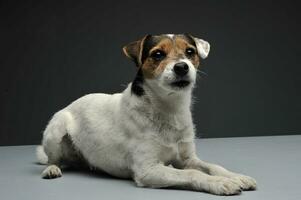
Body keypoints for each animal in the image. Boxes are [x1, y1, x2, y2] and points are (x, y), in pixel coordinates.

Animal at [35, 33, 255, 195]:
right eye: (157, 54)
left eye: (190, 51)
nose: (182, 66)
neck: (169, 108)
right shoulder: (148, 170)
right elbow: (193, 174)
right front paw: (219, 183)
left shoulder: (187, 159)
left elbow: (212, 166)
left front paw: (235, 176)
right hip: (56, 129)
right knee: (52, 159)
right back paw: (52, 169)